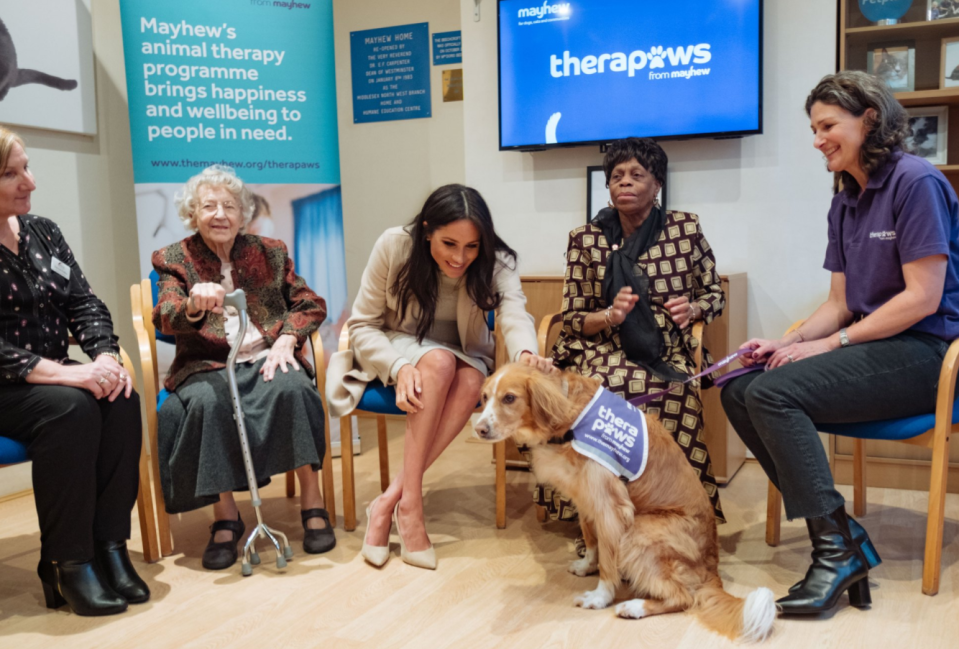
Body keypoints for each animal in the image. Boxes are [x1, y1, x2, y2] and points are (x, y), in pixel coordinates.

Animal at [476, 362, 776, 640]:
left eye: (509, 398)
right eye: (485, 396)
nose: (478, 429)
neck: (572, 420)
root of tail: (712, 565)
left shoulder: (612, 507)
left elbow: (609, 561)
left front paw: (600, 597)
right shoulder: (585, 498)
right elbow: (592, 541)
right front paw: (587, 566)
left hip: (640, 530)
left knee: (685, 597)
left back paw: (635, 606)